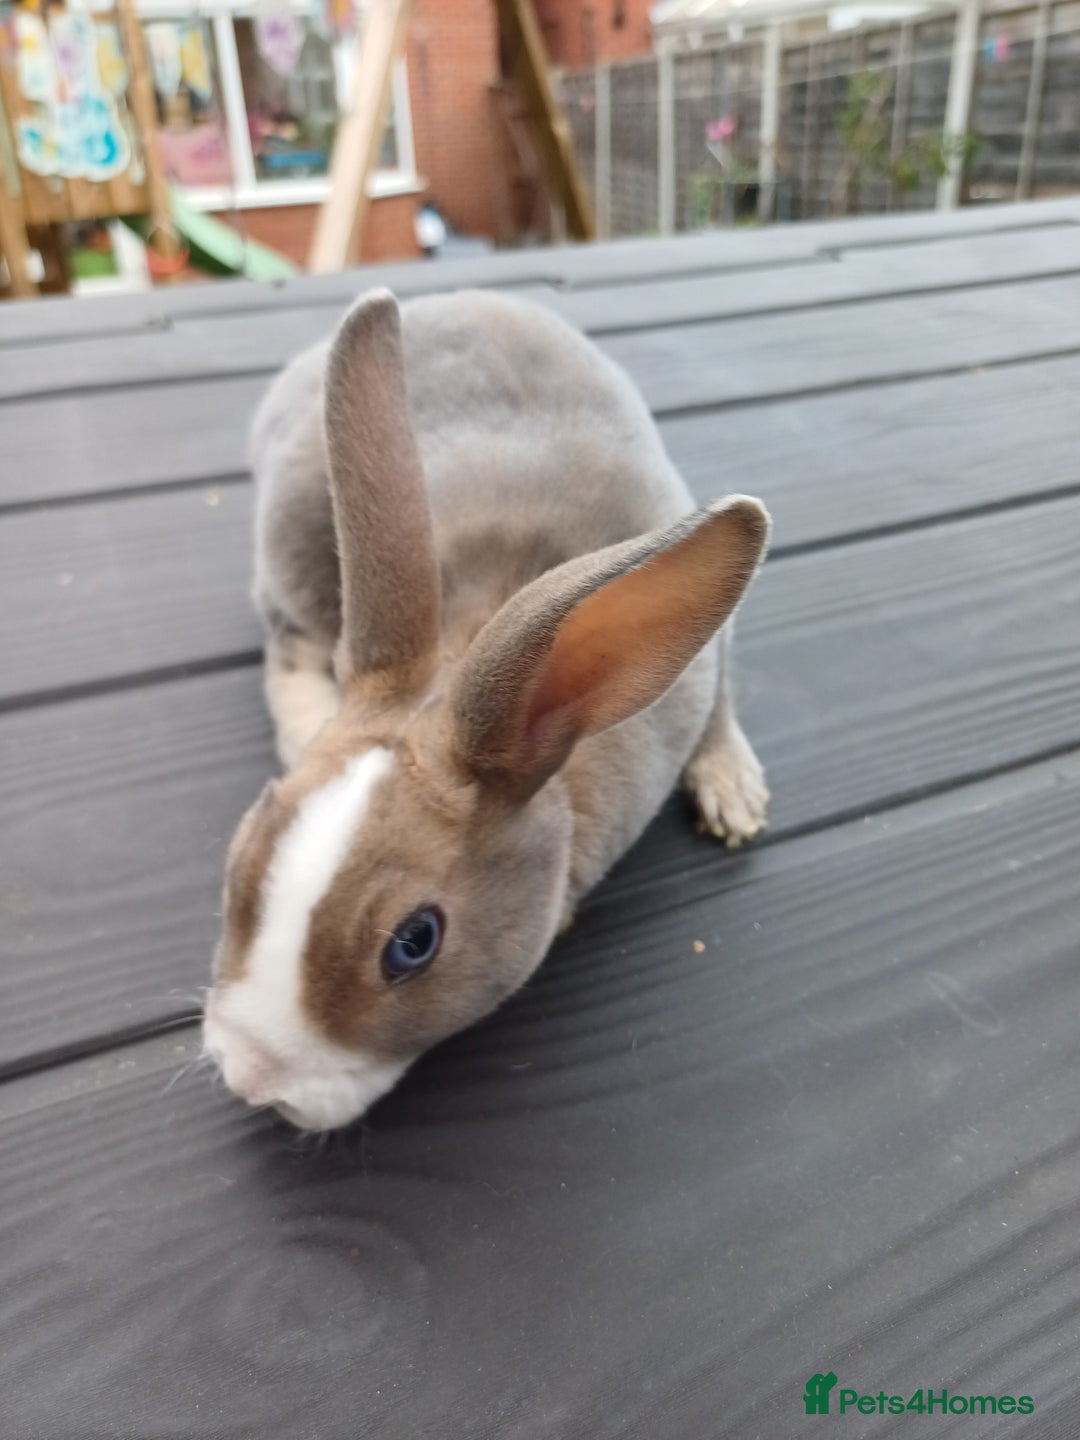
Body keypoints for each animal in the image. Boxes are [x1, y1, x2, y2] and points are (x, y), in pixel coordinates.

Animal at [202, 288, 771, 1133]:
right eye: (243, 852)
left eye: (414, 943)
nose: (249, 1077)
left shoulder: (712, 651)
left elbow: (723, 704)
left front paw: (735, 797)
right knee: (286, 639)